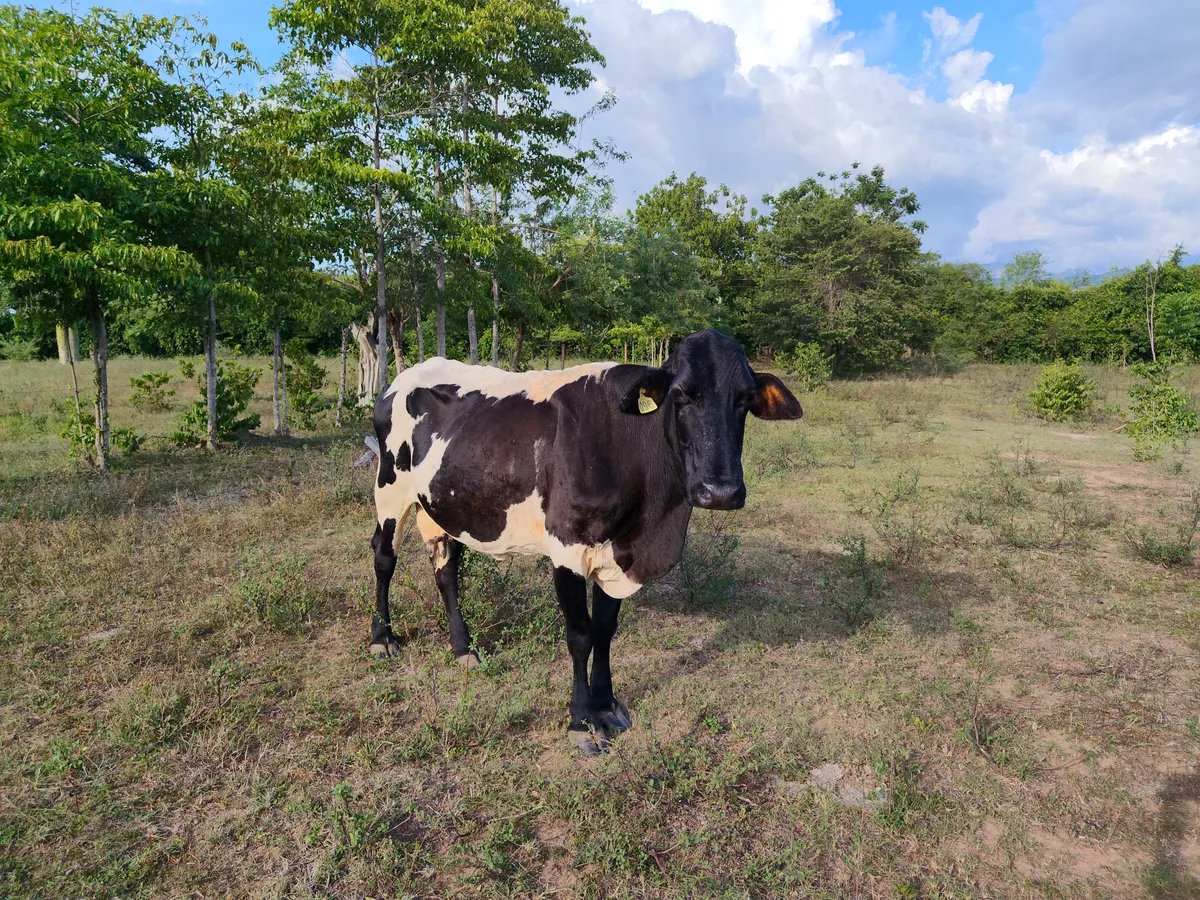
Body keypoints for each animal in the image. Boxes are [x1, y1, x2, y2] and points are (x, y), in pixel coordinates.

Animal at [369, 329, 803, 755]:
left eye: (745, 400)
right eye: (680, 395)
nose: (721, 491)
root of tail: (404, 377)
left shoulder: (616, 551)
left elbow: (605, 630)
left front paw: (606, 705)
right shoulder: (568, 548)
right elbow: (579, 635)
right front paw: (582, 721)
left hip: (441, 506)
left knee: (446, 566)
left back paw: (463, 649)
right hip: (389, 488)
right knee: (384, 556)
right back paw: (383, 638)